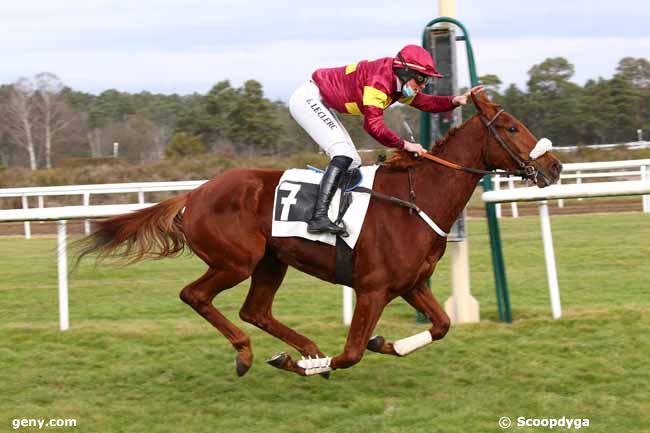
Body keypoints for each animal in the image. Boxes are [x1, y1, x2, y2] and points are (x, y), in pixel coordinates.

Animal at [76, 93, 560, 376]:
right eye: (512, 128)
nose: (554, 166)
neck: (415, 199)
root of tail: (194, 194)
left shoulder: (412, 284)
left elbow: (440, 326)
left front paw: (384, 342)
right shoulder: (372, 289)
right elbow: (351, 353)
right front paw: (305, 362)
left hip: (271, 262)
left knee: (255, 310)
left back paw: (304, 348)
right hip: (236, 261)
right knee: (195, 296)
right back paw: (252, 353)